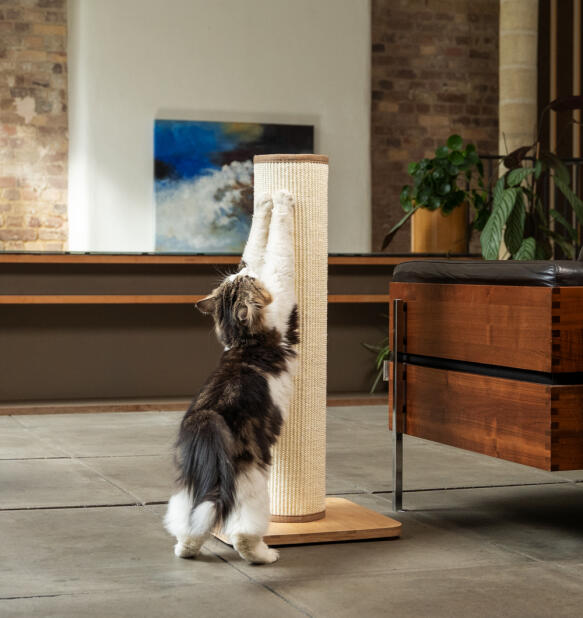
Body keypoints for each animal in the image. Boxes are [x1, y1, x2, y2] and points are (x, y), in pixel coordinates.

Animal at [165, 189, 298, 564]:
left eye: (238, 279)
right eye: (247, 283)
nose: (245, 271)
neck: (242, 340)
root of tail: (209, 417)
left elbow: (257, 240)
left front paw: (265, 202)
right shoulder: (282, 288)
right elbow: (280, 247)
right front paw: (282, 198)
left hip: (192, 479)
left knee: (188, 519)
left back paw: (185, 549)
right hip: (251, 479)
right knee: (242, 531)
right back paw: (265, 555)